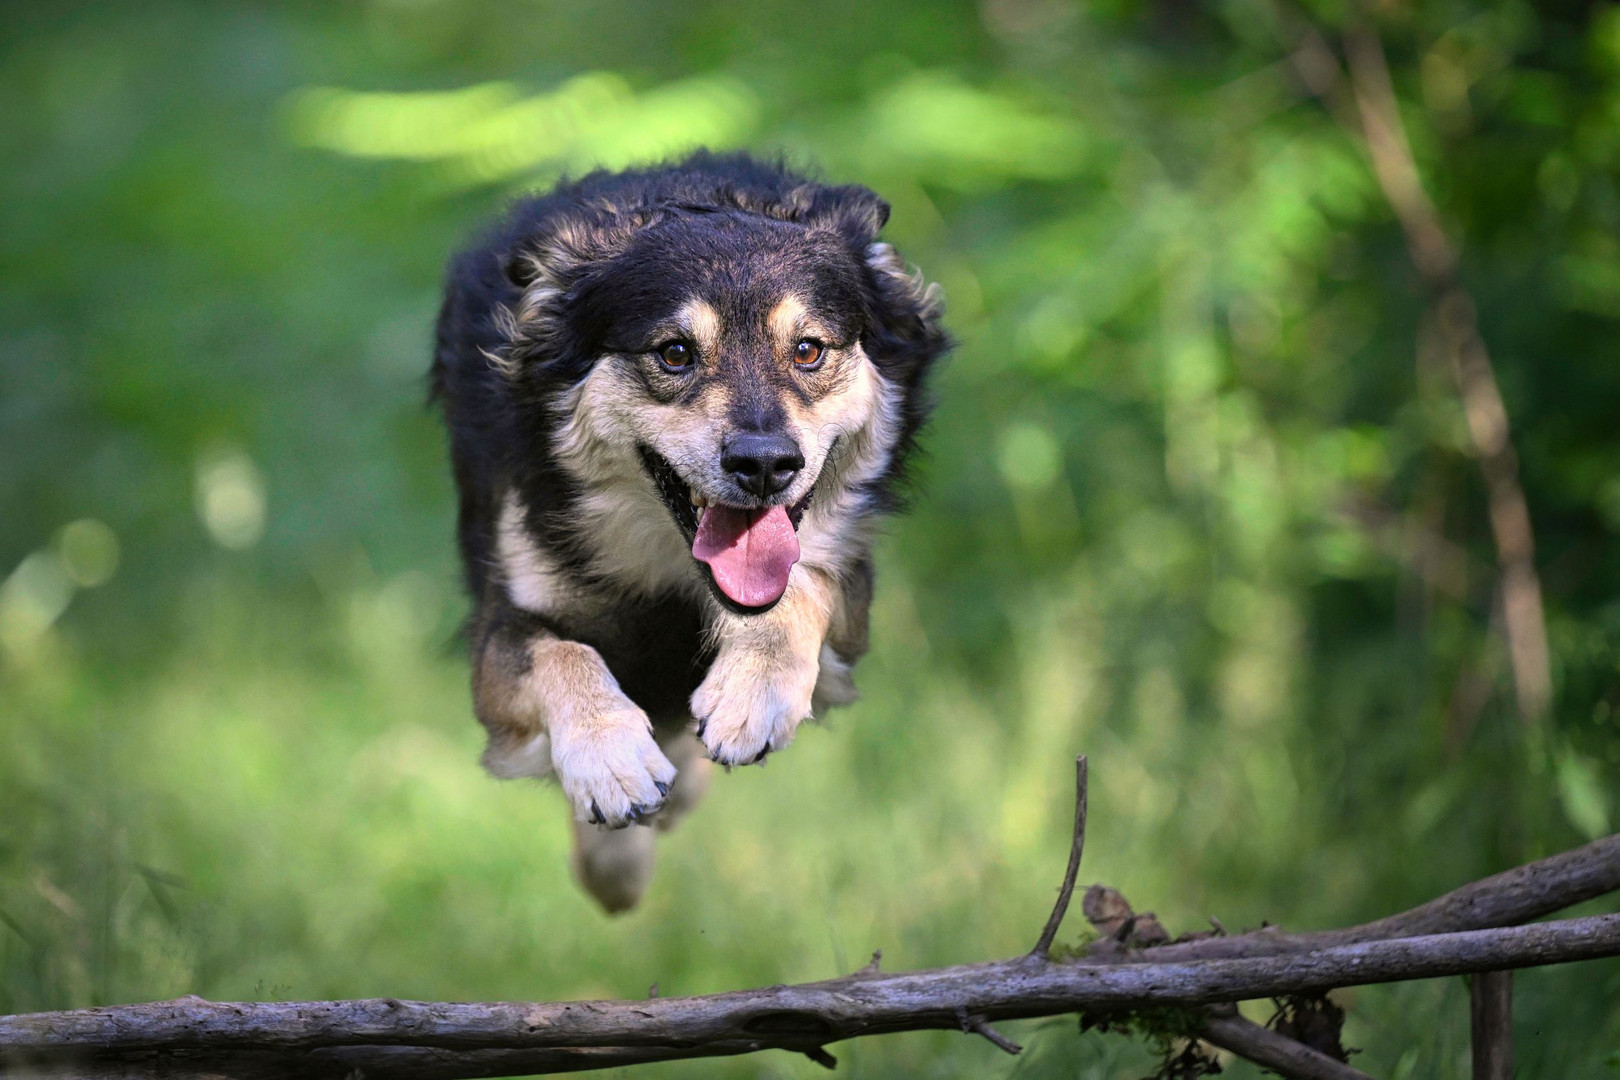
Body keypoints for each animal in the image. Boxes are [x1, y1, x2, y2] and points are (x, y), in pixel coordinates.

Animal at [427, 152, 946, 913]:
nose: (765, 465)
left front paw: (753, 692)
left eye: (810, 350)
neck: (672, 570)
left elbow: (801, 587)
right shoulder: (500, 626)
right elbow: (560, 655)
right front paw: (610, 763)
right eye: (673, 353)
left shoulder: (847, 590)